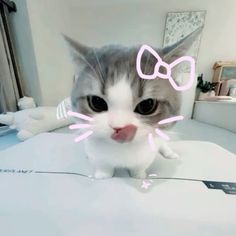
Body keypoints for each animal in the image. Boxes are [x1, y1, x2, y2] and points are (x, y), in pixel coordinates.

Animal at [63, 28, 200, 179]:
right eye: (97, 102)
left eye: (147, 105)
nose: (120, 128)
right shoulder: (96, 153)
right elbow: (103, 165)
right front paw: (102, 176)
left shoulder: (147, 154)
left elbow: (140, 166)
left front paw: (139, 176)